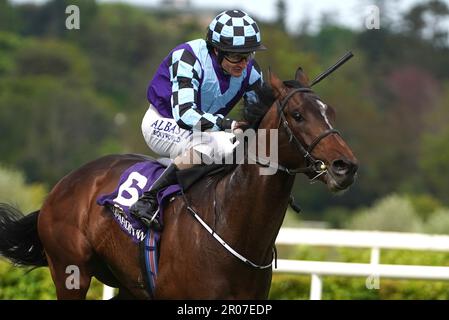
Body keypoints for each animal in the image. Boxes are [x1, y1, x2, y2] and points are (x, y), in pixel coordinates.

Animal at [0, 68, 356, 300]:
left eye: (330, 112)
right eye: (297, 115)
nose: (345, 166)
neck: (233, 227)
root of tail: (62, 185)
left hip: (128, 285)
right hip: (70, 271)